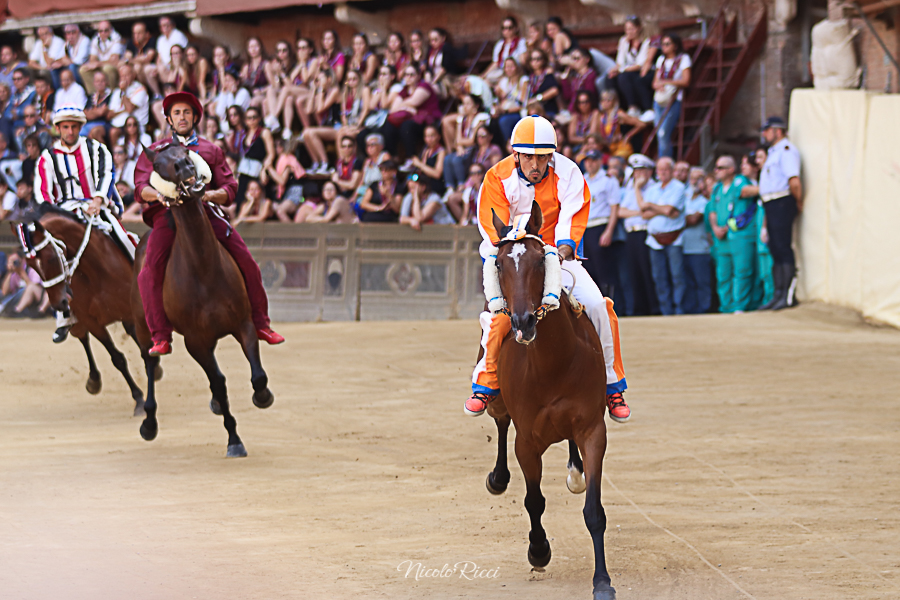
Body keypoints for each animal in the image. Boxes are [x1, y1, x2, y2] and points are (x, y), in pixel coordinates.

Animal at [23, 205, 159, 416]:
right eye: (31, 266)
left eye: (51, 257)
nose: (59, 302)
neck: (95, 271)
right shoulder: (90, 320)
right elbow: (117, 358)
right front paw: (138, 399)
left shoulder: (131, 312)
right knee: (82, 337)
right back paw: (94, 380)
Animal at [131, 143, 274, 458]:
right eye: (157, 164)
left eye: (185, 152)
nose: (184, 166)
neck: (204, 268)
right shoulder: (194, 341)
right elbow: (219, 383)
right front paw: (234, 440)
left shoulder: (243, 323)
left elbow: (257, 375)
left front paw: (262, 396)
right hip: (144, 327)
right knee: (150, 362)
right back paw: (148, 422)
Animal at [480, 201, 615, 600]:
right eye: (499, 263)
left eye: (541, 260)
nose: (523, 321)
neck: (553, 363)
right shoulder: (527, 440)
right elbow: (534, 499)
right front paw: (538, 551)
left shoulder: (592, 430)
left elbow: (594, 512)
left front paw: (602, 581)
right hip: (498, 401)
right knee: (500, 421)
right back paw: (498, 476)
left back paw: (575, 470)